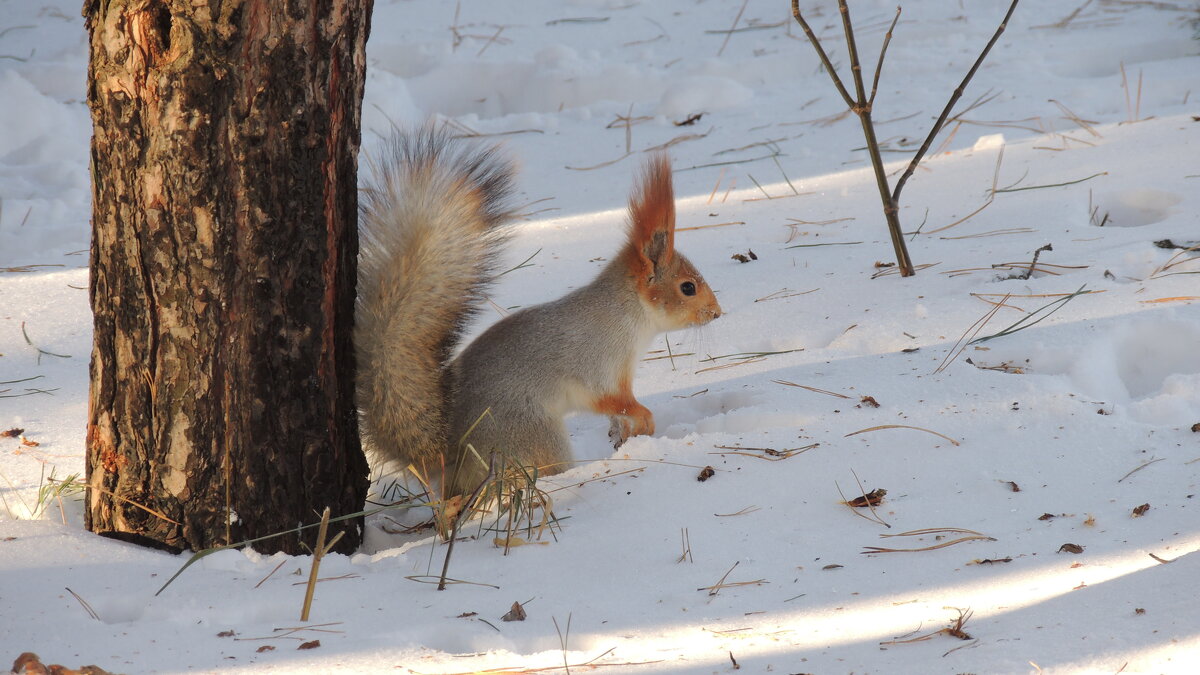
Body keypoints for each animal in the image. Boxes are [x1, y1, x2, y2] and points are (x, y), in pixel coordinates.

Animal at [350, 127, 715, 494]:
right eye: (688, 287)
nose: (717, 313)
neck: (626, 312)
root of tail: (449, 458)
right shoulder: (597, 361)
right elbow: (611, 398)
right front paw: (643, 417)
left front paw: (622, 431)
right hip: (532, 433)